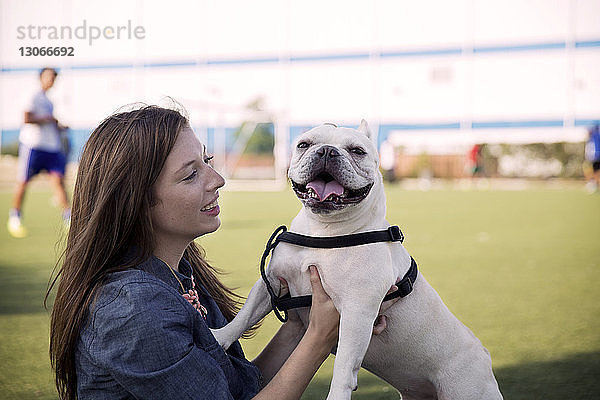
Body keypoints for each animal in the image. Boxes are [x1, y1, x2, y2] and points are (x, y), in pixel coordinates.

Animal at [211, 122, 502, 400]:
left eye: (357, 151)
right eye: (304, 144)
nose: (327, 151)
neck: (324, 230)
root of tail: (484, 356)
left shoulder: (356, 312)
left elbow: (344, 364)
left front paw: (336, 397)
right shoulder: (270, 282)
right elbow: (246, 315)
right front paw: (220, 337)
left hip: (467, 388)